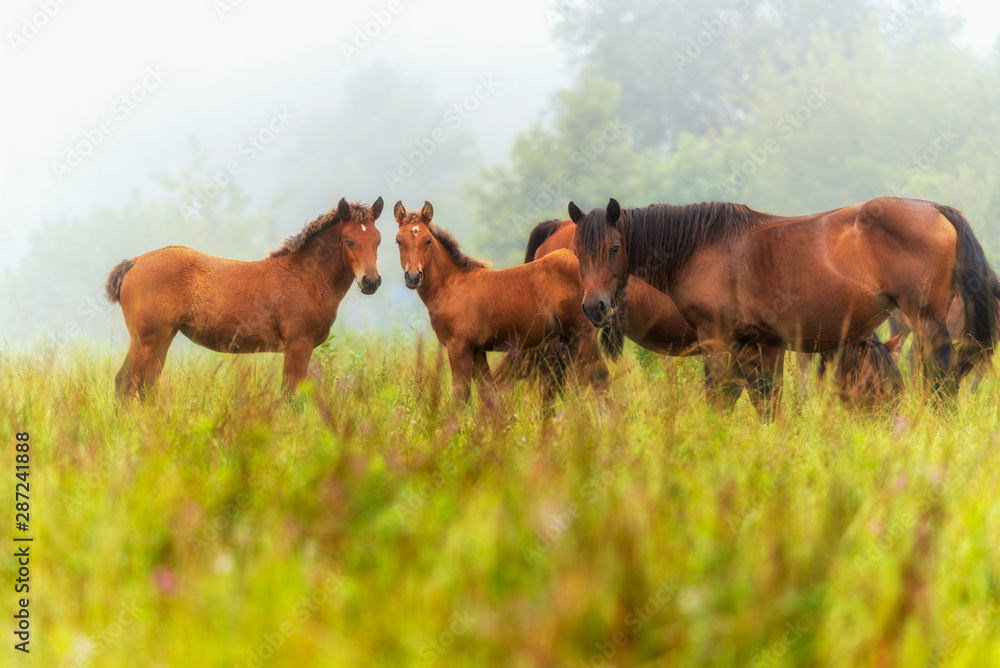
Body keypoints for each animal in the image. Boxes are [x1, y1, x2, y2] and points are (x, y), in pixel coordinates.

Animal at [106, 197, 385, 398]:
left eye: (378, 241)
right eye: (348, 241)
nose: (371, 282)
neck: (305, 276)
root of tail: (135, 261)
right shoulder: (299, 345)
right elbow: (291, 396)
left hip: (163, 337)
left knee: (147, 386)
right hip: (146, 339)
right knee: (124, 382)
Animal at [393, 201, 607, 403]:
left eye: (428, 240)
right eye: (398, 241)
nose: (413, 276)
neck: (452, 285)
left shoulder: (458, 347)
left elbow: (461, 395)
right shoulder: (478, 351)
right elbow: (488, 394)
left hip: (583, 335)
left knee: (598, 375)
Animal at [569, 197, 1000, 415]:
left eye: (614, 248)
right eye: (577, 251)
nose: (594, 307)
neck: (701, 245)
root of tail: (936, 208)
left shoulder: (717, 339)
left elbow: (719, 399)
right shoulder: (758, 344)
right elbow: (763, 401)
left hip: (924, 321)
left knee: (942, 376)